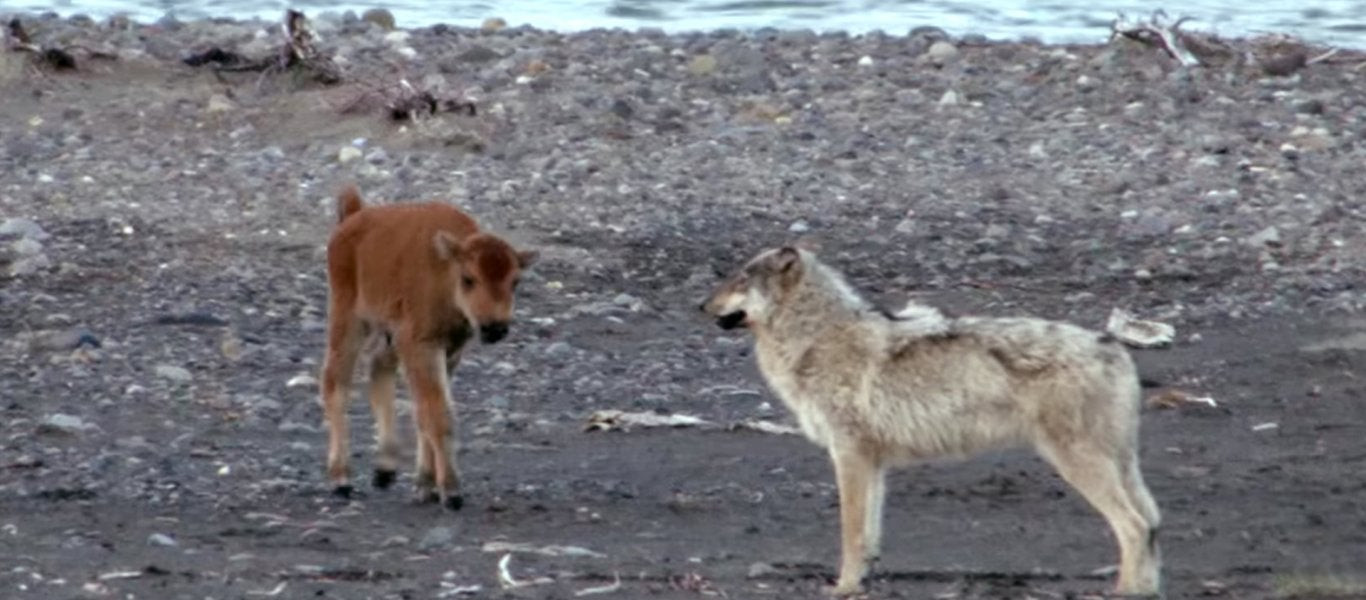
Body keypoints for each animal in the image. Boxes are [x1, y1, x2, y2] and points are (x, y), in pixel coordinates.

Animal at [704, 246, 1163, 598]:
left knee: (1135, 526)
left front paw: (844, 588)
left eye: (741, 280)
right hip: (1117, 465)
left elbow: (851, 533)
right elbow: (868, 534)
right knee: (1152, 523)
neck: (816, 337)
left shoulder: (848, 454)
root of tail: (1115, 348)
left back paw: (1125, 591)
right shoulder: (872, 463)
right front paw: (863, 579)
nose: (700, 306)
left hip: (1078, 465)